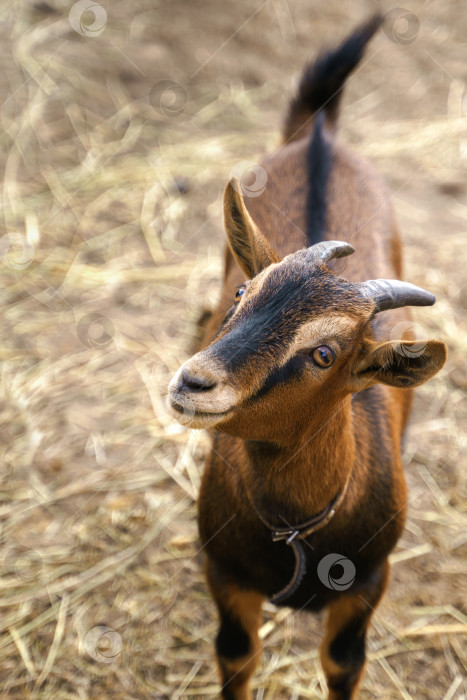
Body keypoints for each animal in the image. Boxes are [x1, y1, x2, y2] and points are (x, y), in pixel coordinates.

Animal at [166, 16, 448, 700]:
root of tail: (319, 135)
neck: (297, 529)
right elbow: (236, 657)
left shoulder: (370, 584)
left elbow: (343, 664)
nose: (193, 383)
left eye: (325, 353)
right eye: (243, 294)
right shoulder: (226, 576)